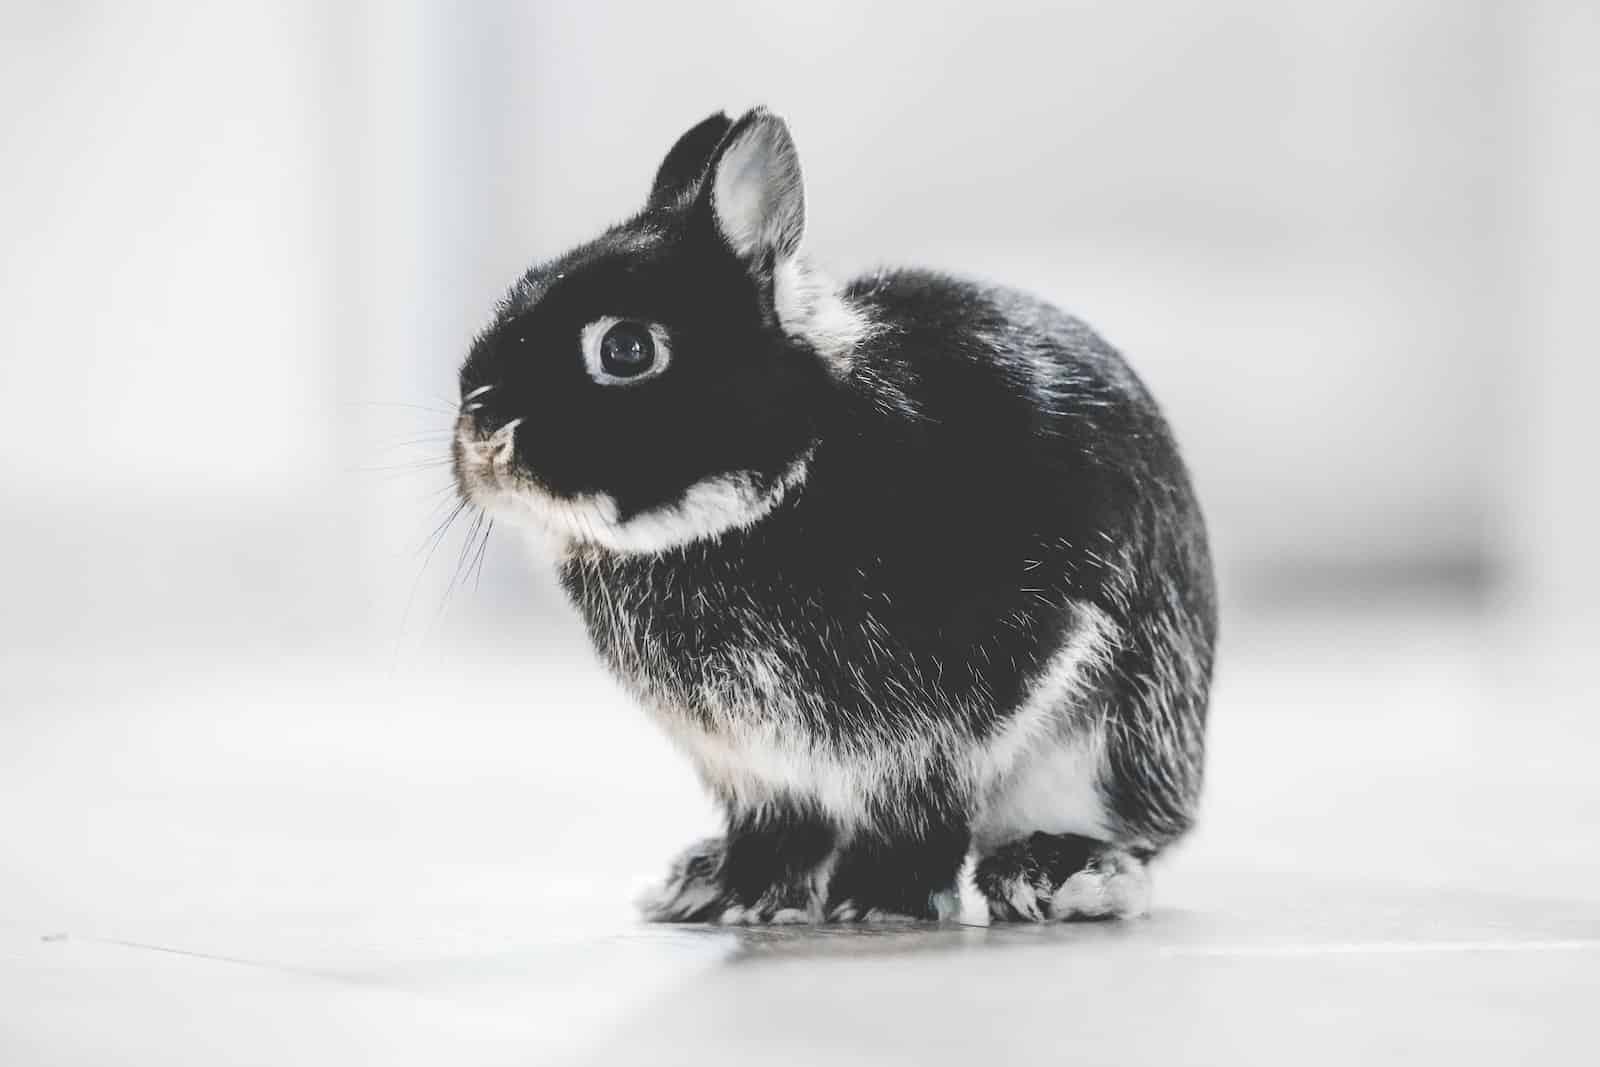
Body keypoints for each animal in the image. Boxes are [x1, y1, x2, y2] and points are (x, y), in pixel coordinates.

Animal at [452, 107, 1216, 924]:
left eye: (626, 348)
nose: (483, 433)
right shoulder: (755, 768)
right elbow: (779, 829)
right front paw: (741, 897)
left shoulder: (953, 719)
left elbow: (918, 810)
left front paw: (881, 903)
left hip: (1112, 743)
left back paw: (1054, 874)